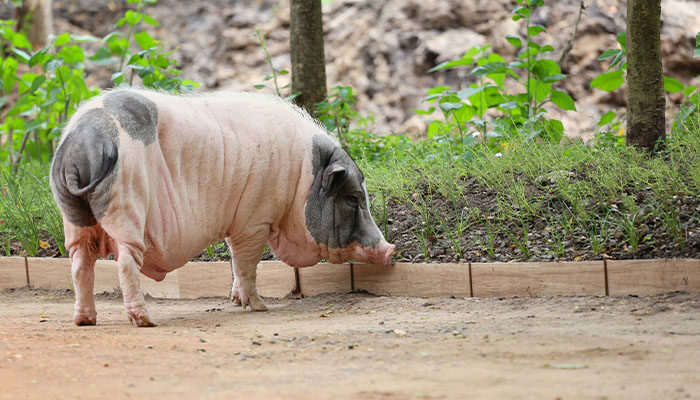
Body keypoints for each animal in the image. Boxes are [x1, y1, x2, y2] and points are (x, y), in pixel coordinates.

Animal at [50, 89, 394, 326]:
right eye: (353, 198)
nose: (390, 250)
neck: (301, 178)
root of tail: (81, 144)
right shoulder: (255, 220)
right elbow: (247, 265)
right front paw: (259, 307)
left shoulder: (239, 222)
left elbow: (233, 261)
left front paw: (235, 301)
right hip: (126, 208)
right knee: (124, 263)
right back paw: (145, 320)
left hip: (73, 218)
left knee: (79, 264)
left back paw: (85, 321)